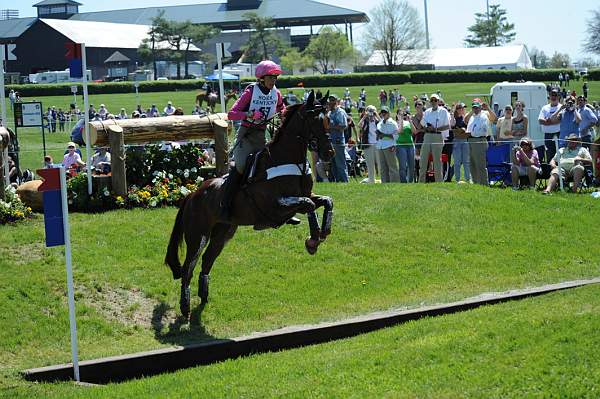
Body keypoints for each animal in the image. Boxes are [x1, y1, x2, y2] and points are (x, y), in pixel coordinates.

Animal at [164, 91, 336, 318]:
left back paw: (203, 296)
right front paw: (313, 240)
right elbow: (308, 205)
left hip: (223, 233)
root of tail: (191, 195)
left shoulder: (306, 196)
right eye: (314, 120)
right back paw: (185, 306)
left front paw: (321, 234)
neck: (288, 160)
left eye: (328, 120)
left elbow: (325, 202)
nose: (330, 153)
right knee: (188, 267)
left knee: (207, 261)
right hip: (198, 236)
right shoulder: (275, 206)